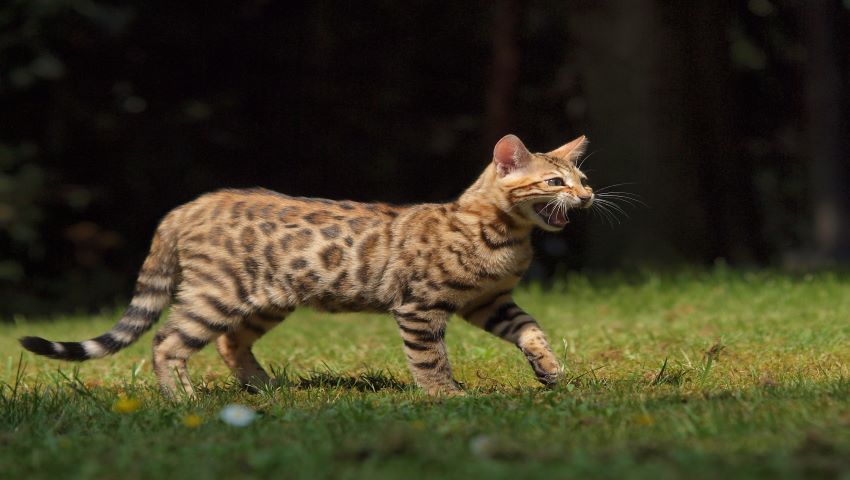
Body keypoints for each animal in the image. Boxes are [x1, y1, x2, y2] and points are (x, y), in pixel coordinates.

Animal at [18, 135, 588, 398]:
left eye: (581, 178)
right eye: (554, 182)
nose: (587, 195)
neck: (505, 237)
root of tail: (186, 207)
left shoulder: (490, 302)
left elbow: (531, 329)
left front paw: (551, 370)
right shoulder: (420, 306)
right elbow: (429, 358)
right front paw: (445, 396)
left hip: (266, 298)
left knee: (230, 342)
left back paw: (264, 387)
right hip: (216, 294)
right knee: (166, 342)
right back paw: (183, 399)